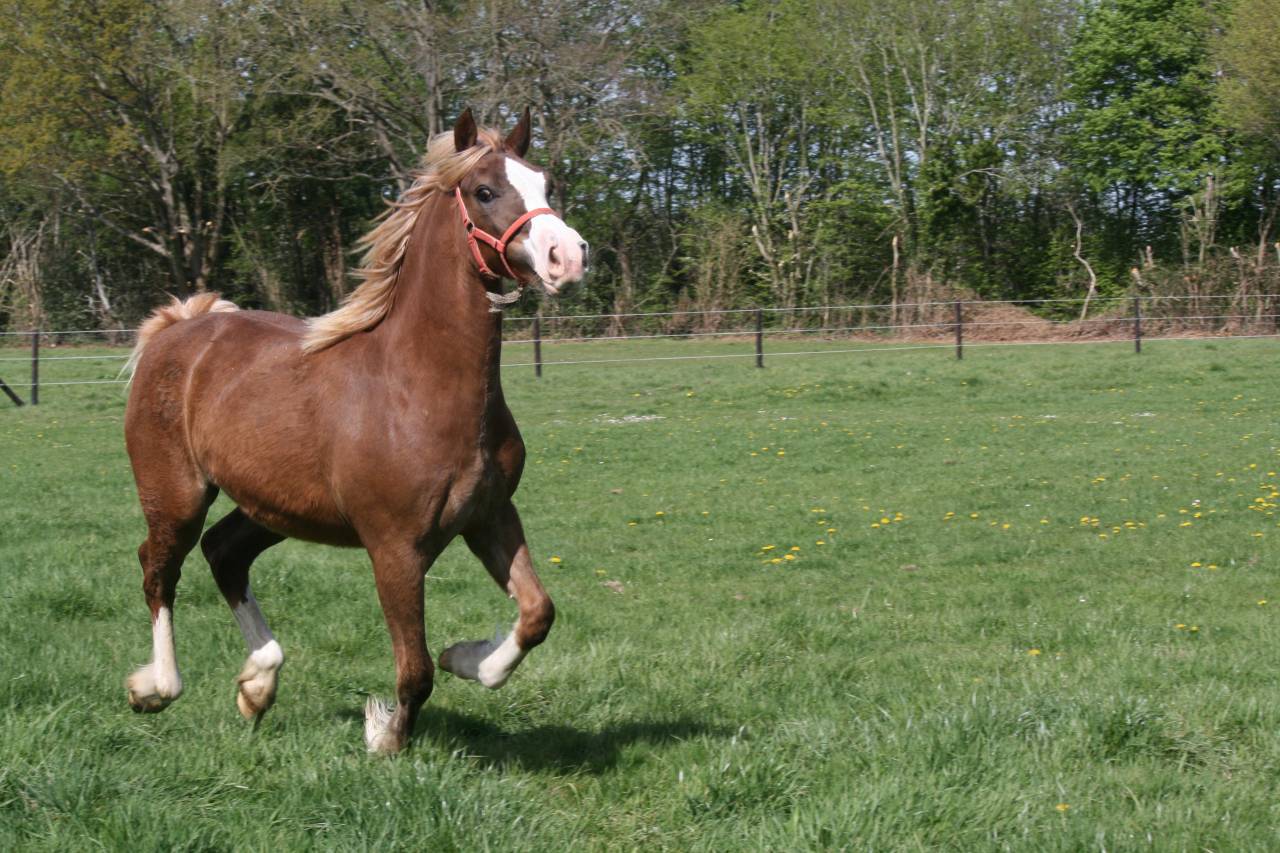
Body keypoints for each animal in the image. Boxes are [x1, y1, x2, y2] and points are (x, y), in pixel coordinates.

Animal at [121, 109, 587, 754]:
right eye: (484, 191)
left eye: (545, 183)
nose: (568, 256)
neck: (419, 387)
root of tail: (176, 328)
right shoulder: (395, 547)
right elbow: (414, 670)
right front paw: (384, 735)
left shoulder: (490, 517)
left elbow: (538, 613)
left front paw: (468, 658)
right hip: (176, 495)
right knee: (159, 569)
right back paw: (156, 688)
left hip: (274, 507)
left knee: (223, 552)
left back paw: (257, 684)